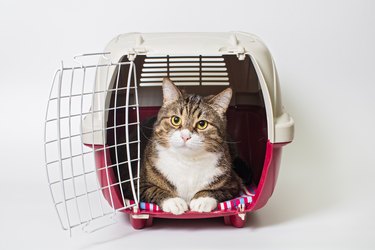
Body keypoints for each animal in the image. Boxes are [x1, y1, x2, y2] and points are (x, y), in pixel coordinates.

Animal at [139, 78, 244, 215]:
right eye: (175, 120)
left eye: (202, 124)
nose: (185, 136)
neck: (187, 161)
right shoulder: (137, 183)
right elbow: (152, 189)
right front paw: (173, 201)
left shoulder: (233, 184)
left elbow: (217, 190)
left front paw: (202, 199)